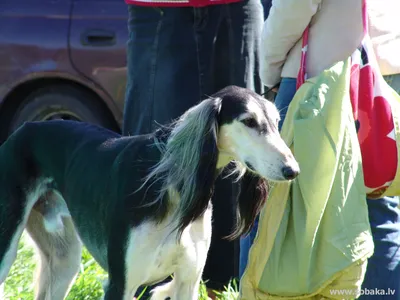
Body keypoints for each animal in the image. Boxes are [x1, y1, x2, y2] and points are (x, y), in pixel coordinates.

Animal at [0, 85, 298, 298]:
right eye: (248, 121)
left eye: (276, 121)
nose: (293, 170)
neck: (171, 188)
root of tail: (22, 129)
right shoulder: (121, 284)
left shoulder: (187, 282)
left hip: (64, 260)